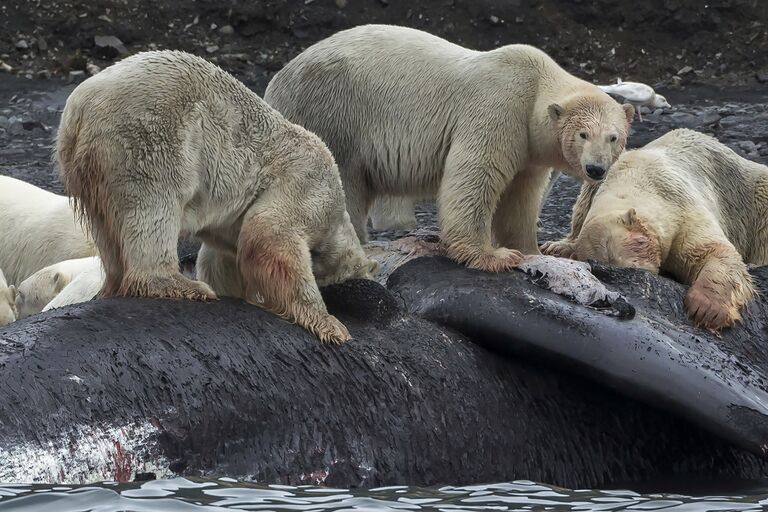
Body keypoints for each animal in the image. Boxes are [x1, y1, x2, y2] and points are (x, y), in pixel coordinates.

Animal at [57, 50, 378, 344]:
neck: (336, 214)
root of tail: (81, 105)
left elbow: (223, 258)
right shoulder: (307, 182)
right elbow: (271, 232)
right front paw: (329, 324)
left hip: (84, 164)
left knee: (106, 226)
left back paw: (111, 285)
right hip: (150, 138)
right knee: (153, 207)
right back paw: (181, 285)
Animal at [264, 24, 636, 272]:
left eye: (614, 137)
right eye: (583, 134)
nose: (596, 169)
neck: (535, 86)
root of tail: (275, 82)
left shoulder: (529, 148)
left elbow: (520, 196)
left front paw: (533, 249)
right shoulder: (499, 107)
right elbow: (475, 177)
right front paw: (493, 256)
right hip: (332, 112)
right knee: (342, 178)